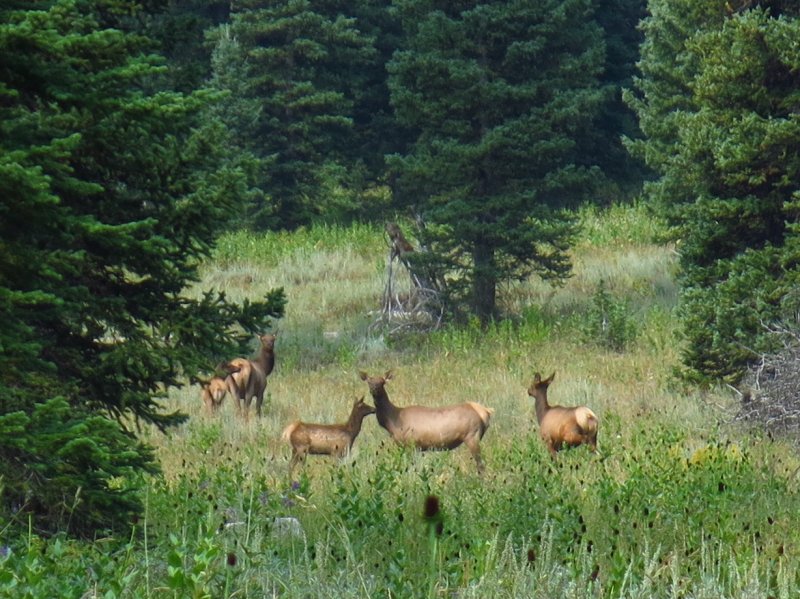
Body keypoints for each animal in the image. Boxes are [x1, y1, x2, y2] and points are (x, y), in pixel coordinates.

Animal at [359, 370, 494, 474]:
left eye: (382, 382)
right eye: (369, 381)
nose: (374, 389)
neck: (391, 422)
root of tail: (485, 411)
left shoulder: (410, 444)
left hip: (472, 435)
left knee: (481, 465)